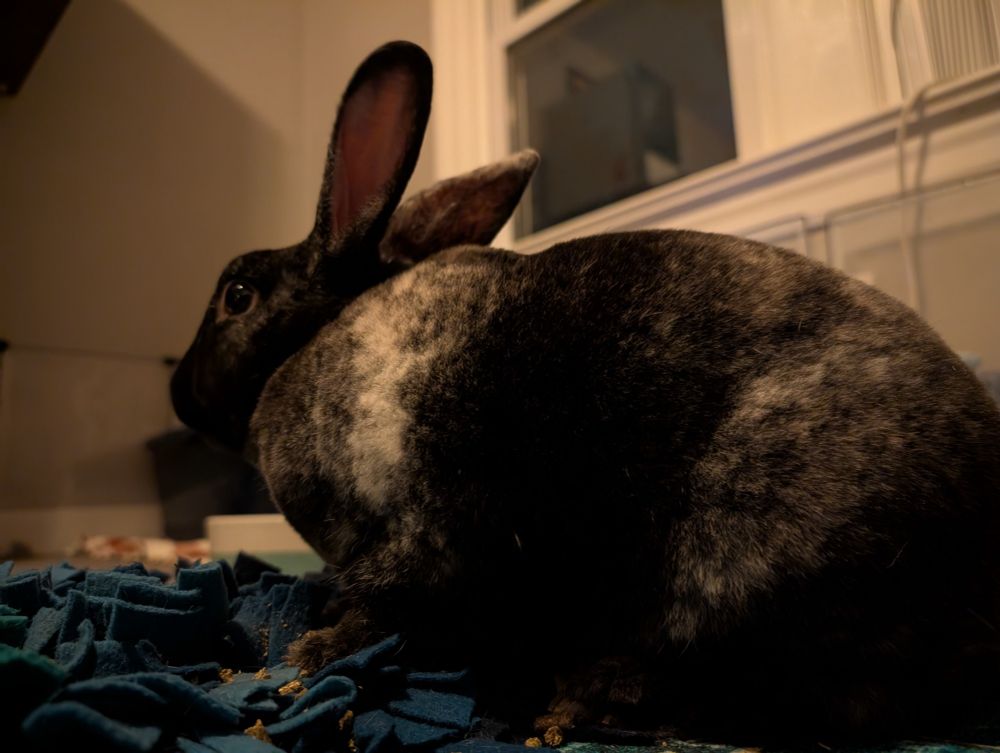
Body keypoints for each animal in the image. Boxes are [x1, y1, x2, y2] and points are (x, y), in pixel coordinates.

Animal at [171, 41, 1000, 743]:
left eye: (238, 294)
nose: (178, 392)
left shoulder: (419, 536)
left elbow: (384, 603)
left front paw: (313, 649)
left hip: (741, 554)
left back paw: (587, 693)